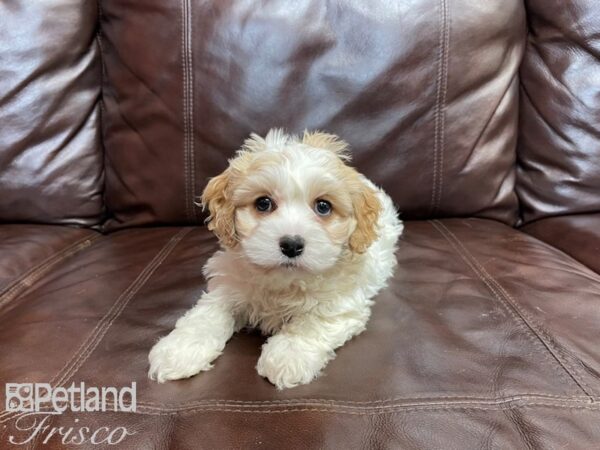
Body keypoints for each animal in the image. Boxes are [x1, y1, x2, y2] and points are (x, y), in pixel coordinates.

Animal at [148, 128, 404, 388]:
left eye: (323, 206)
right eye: (263, 203)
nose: (291, 245)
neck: (283, 281)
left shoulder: (342, 304)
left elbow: (313, 322)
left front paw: (288, 355)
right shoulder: (227, 286)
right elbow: (206, 315)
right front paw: (178, 351)